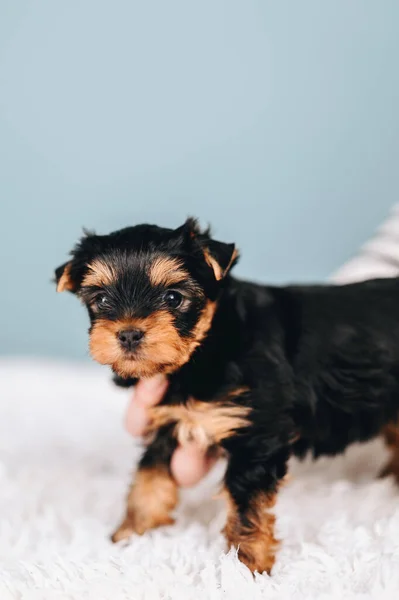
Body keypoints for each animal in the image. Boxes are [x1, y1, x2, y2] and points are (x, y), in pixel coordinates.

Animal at [57, 218, 399, 576]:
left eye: (173, 297)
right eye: (102, 299)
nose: (128, 334)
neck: (206, 346)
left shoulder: (256, 430)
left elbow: (248, 506)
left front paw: (248, 565)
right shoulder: (170, 419)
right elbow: (149, 476)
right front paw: (132, 534)